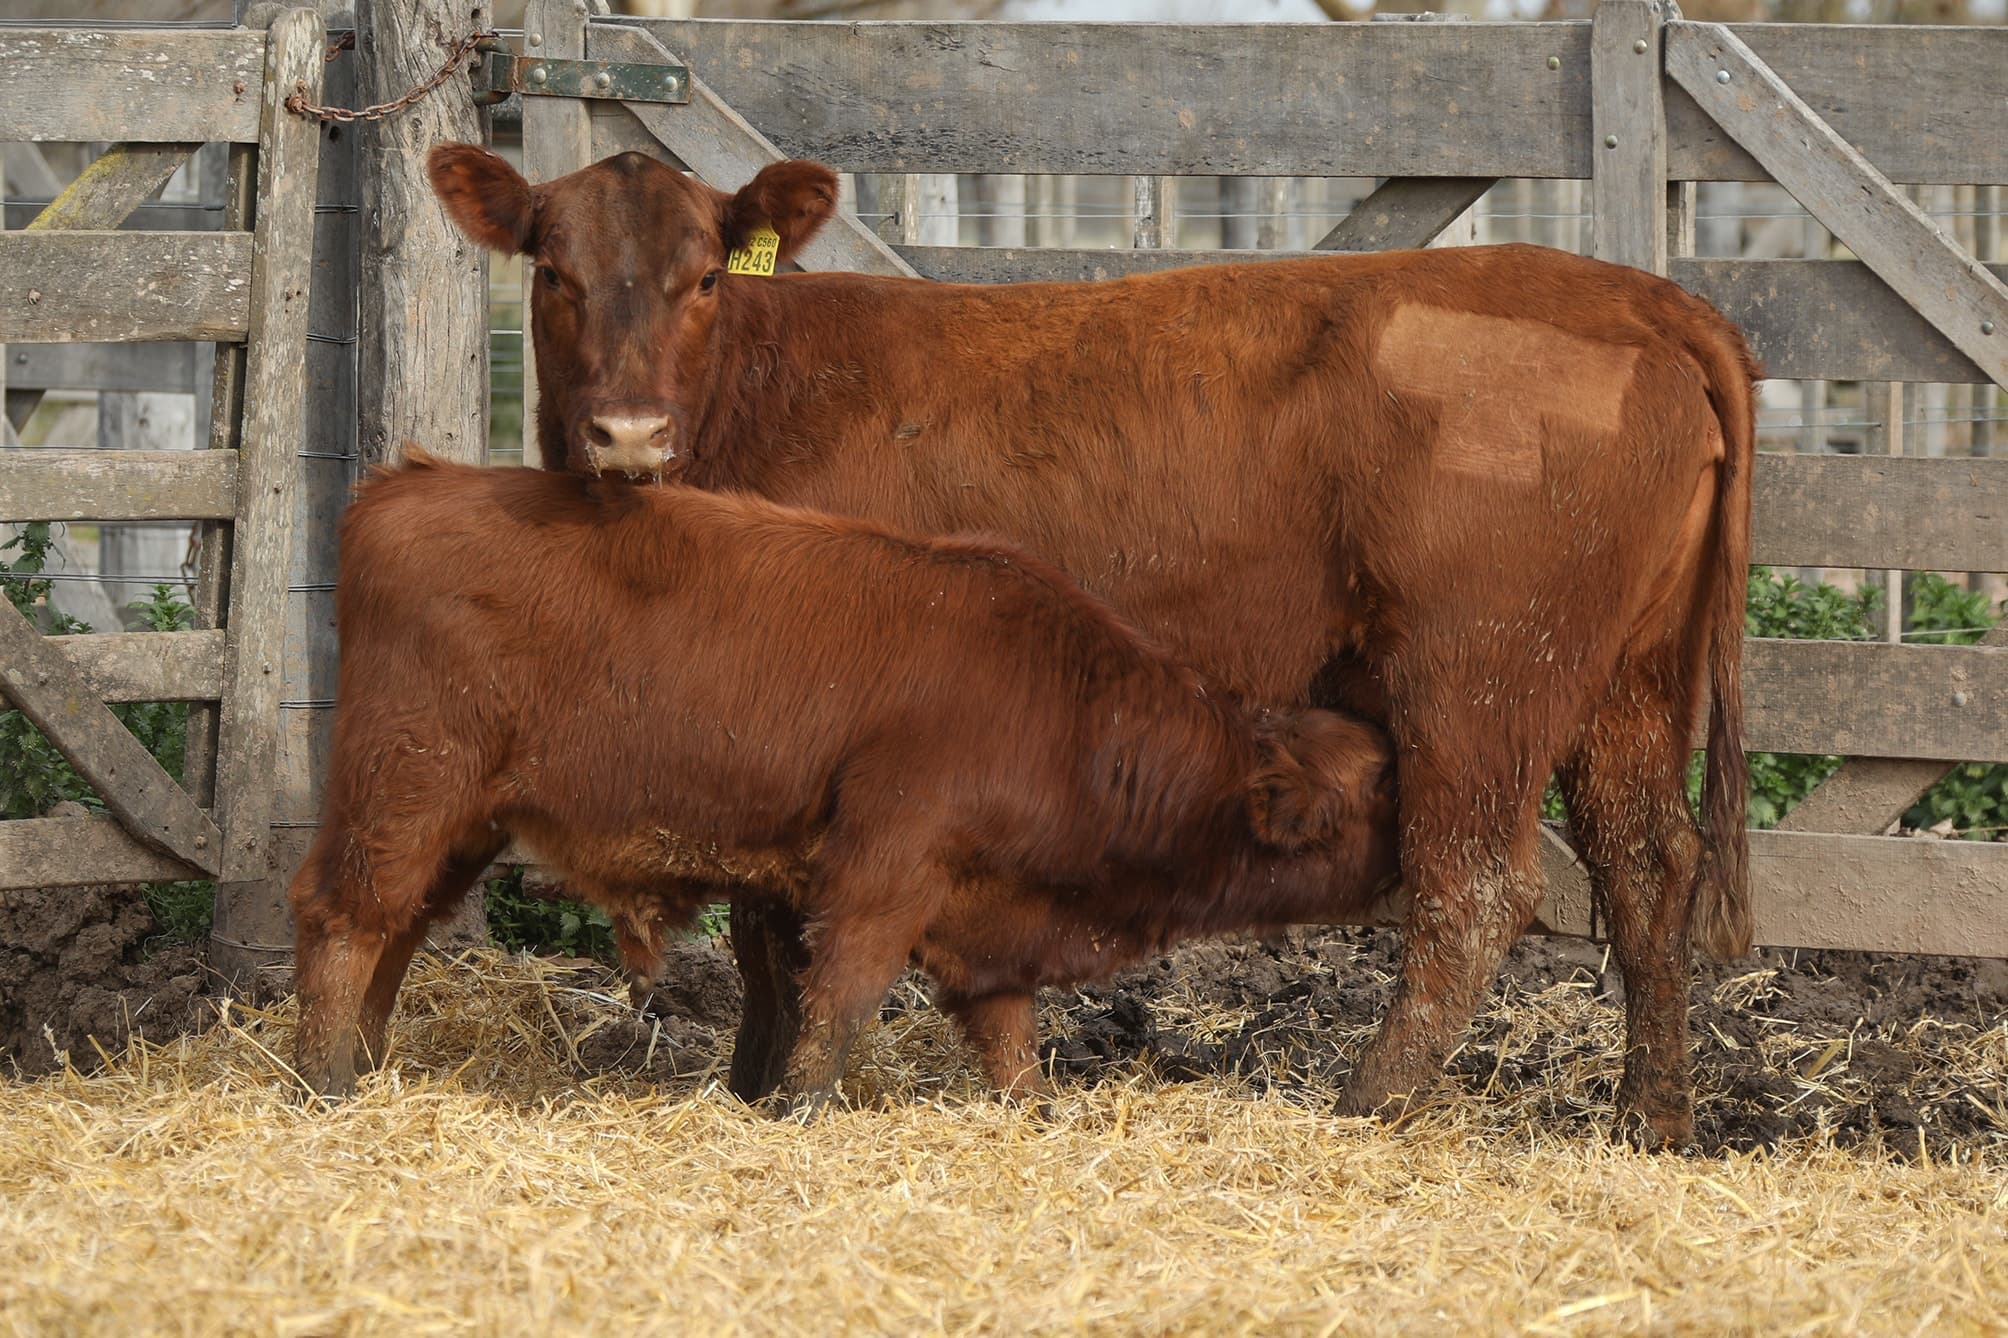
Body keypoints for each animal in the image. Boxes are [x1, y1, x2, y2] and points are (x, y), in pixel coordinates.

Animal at [289, 454, 1400, 1107]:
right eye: (1376, 796)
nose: (1429, 849)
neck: (1066, 707)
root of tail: (412, 479)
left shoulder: (986, 922)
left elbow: (1008, 1035)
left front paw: (1027, 1113)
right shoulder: (882, 873)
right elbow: (840, 1001)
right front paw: (797, 1108)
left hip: (459, 819)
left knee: (396, 929)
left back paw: (366, 1067)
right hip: (406, 787)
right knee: (345, 918)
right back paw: (323, 1080)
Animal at [427, 144, 1759, 1148]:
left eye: (705, 277)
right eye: (552, 270)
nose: (627, 434)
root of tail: (1638, 295)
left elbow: (773, 930)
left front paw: (768, 1092)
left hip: (1476, 679)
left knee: (1476, 890)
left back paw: (1362, 1108)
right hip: (1625, 682)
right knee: (1648, 866)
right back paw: (1651, 1122)